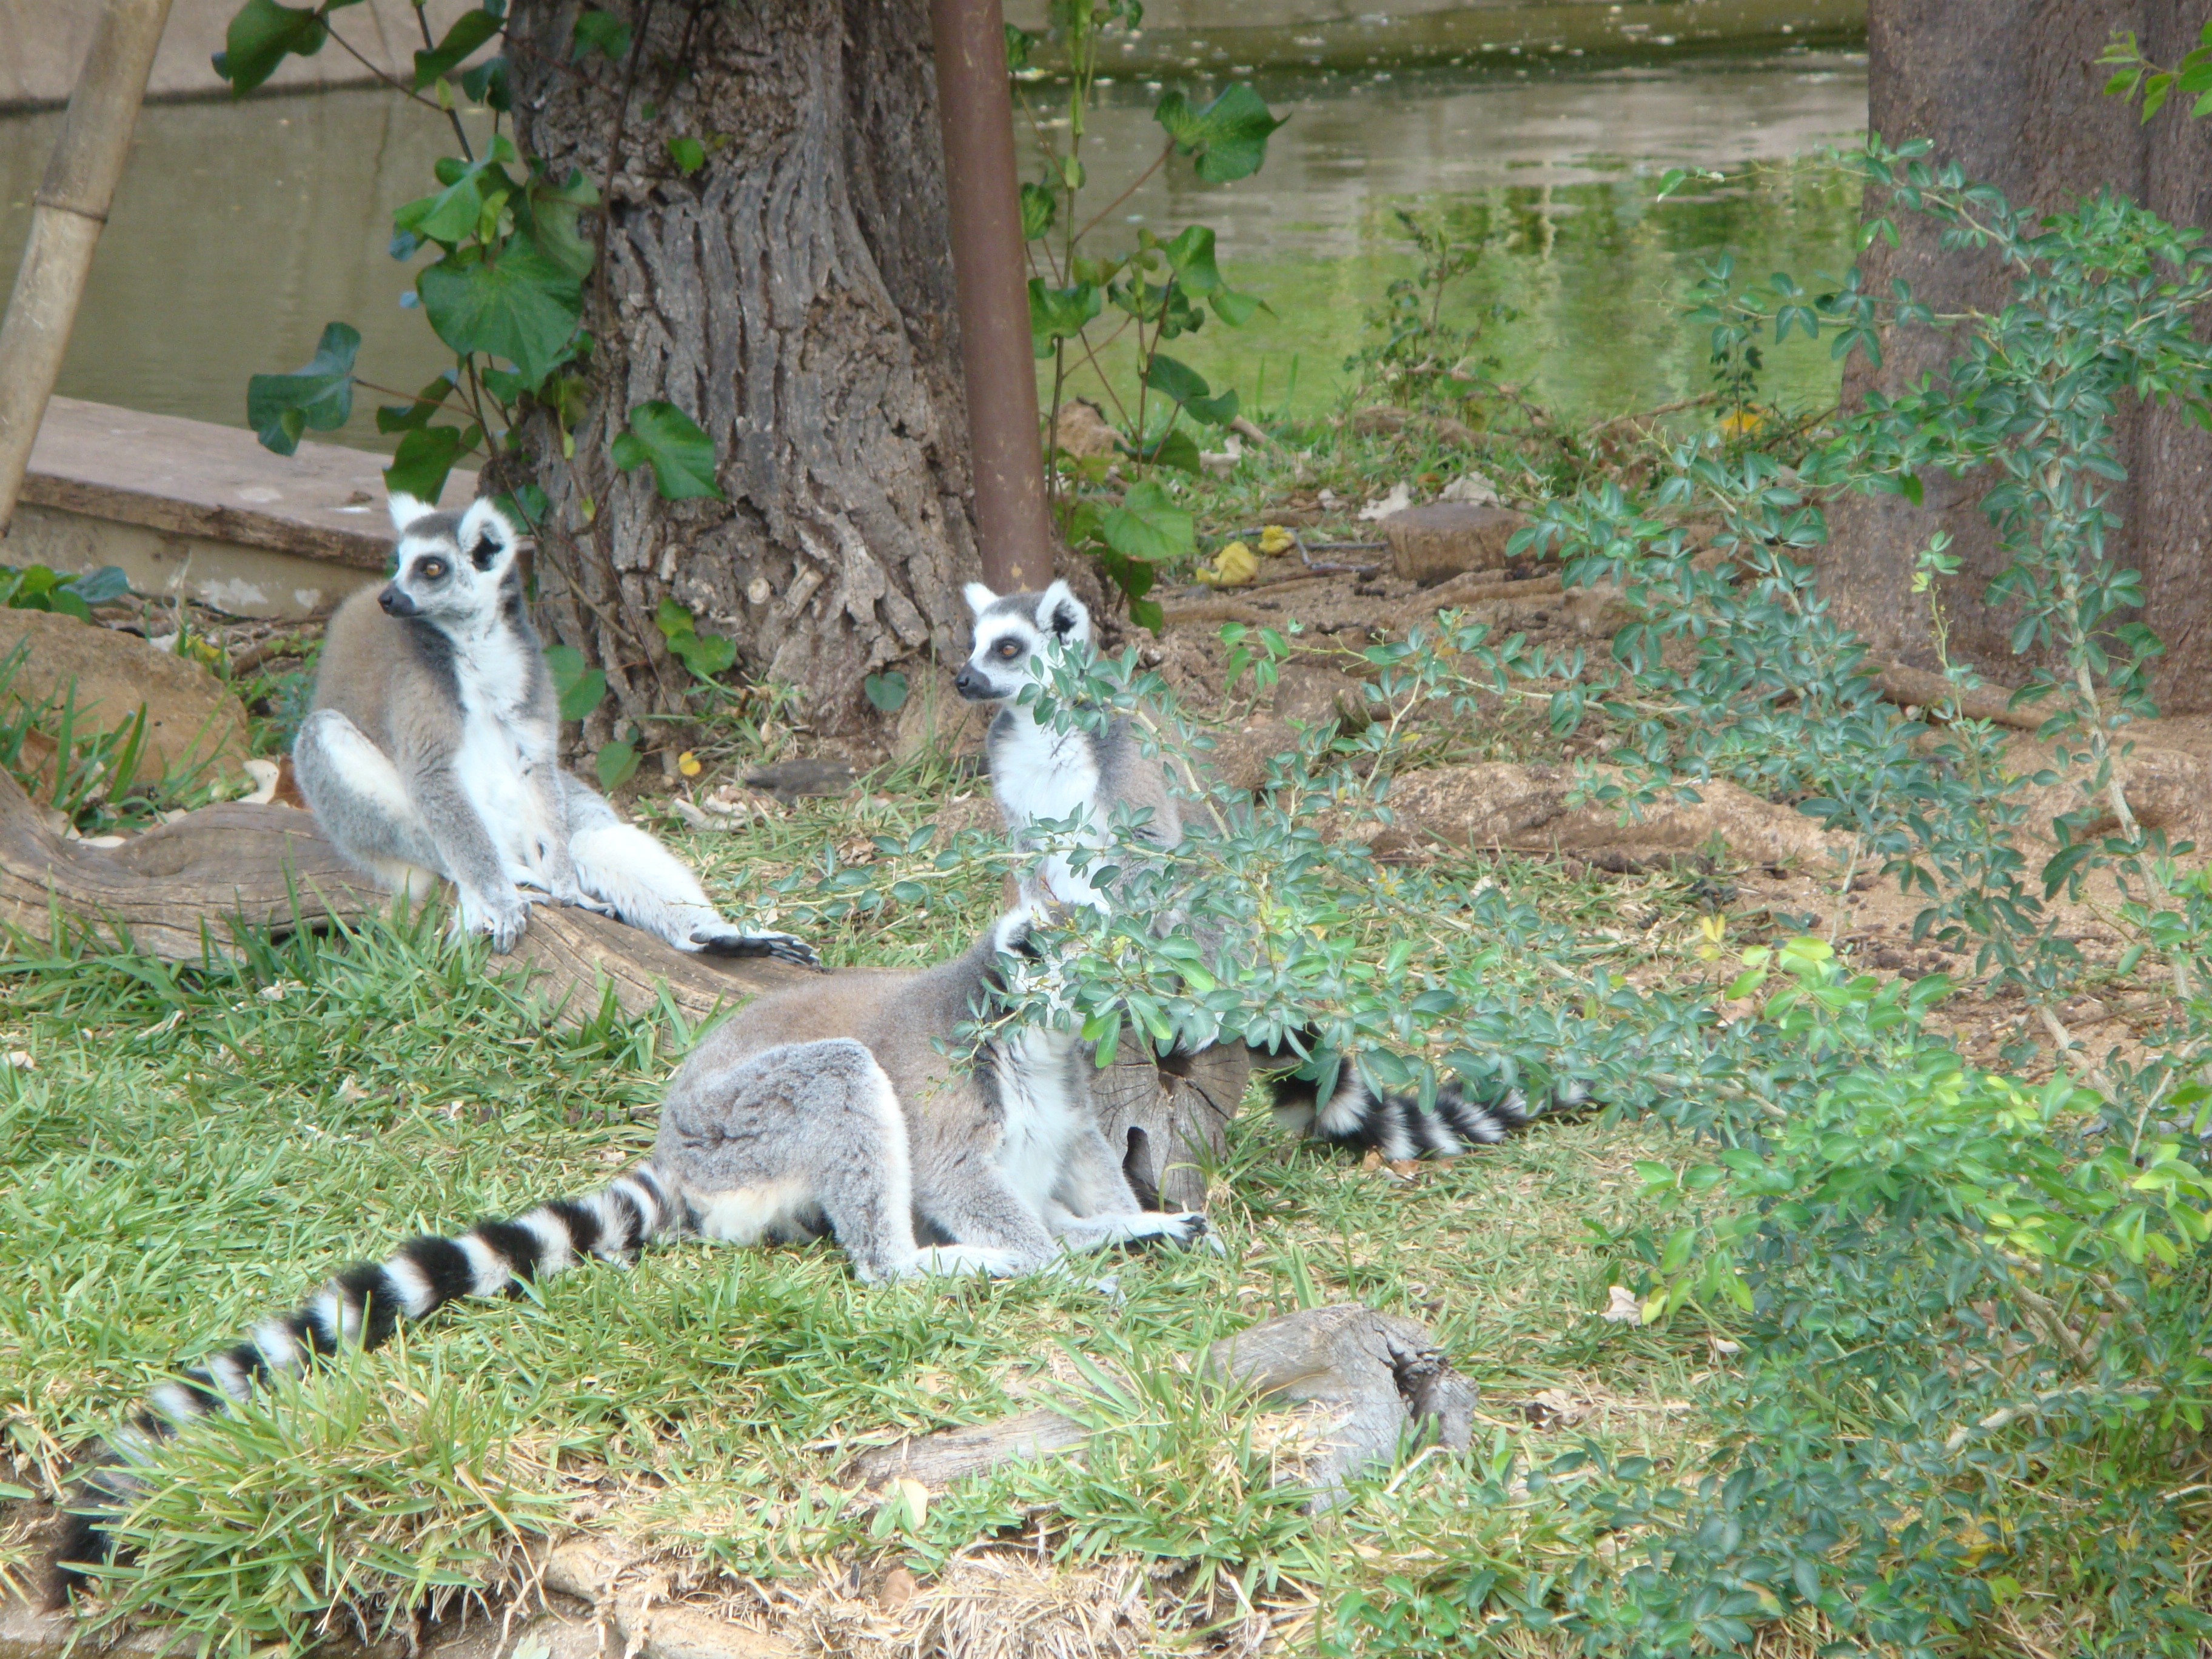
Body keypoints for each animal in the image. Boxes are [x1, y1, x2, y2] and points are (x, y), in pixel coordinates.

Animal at [292, 494, 814, 965]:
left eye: (431, 568)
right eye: (400, 564)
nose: (388, 597)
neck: (476, 645)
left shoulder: (528, 676)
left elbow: (538, 762)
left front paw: (567, 886)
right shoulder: (417, 689)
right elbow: (431, 775)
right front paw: (500, 898)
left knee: (592, 835)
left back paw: (714, 936)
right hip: (366, 836)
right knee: (332, 745)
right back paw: (503, 880)